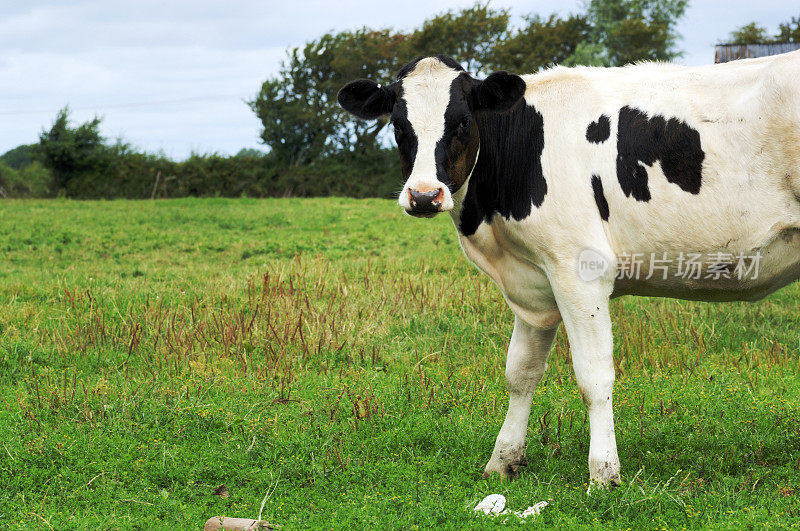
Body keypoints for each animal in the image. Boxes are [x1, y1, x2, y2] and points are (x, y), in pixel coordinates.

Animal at [338, 52, 800, 488]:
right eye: (399, 125)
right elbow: (520, 373)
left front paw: (604, 474)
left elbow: (594, 377)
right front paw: (503, 462)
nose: (423, 195)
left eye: (464, 122)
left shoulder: (580, 270)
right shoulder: (533, 282)